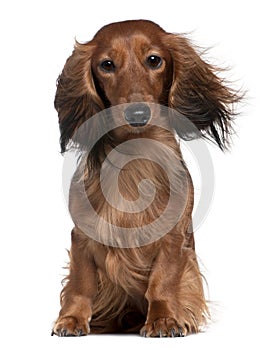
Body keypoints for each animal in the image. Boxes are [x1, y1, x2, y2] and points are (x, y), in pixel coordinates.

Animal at [51, 19, 239, 336]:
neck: (135, 156)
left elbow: (162, 281)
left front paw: (164, 319)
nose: (137, 113)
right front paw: (71, 319)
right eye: (107, 64)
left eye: (154, 60)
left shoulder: (173, 236)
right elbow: (81, 282)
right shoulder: (83, 234)